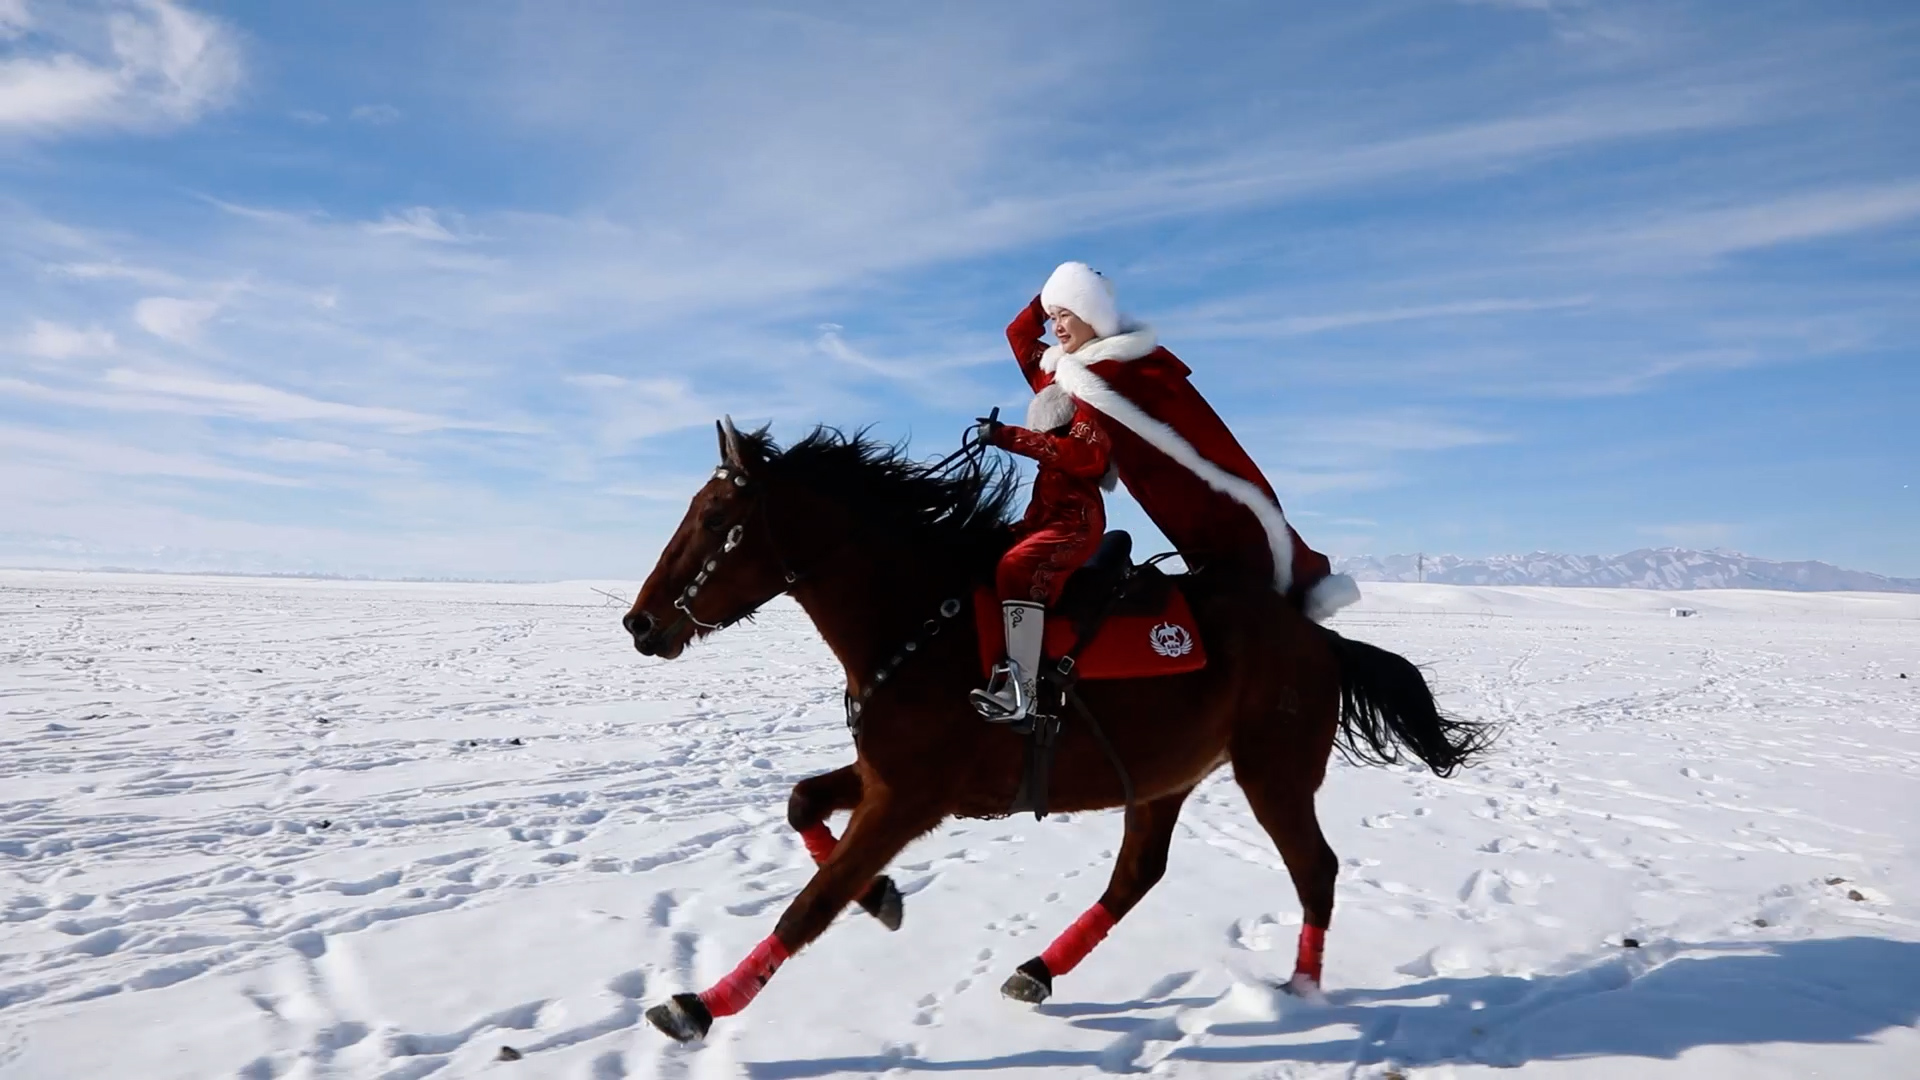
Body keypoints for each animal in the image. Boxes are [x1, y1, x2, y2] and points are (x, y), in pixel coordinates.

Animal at [629, 418, 1482, 1037]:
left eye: (714, 517)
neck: (920, 623)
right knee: (1138, 874)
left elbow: (810, 904)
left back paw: (1302, 991)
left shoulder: (908, 798)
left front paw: (700, 1006)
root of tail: (1318, 638)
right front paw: (882, 898)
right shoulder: (883, 776)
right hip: (1163, 777)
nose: (640, 624)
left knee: (1315, 870)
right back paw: (1037, 970)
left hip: (1273, 774)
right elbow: (803, 804)